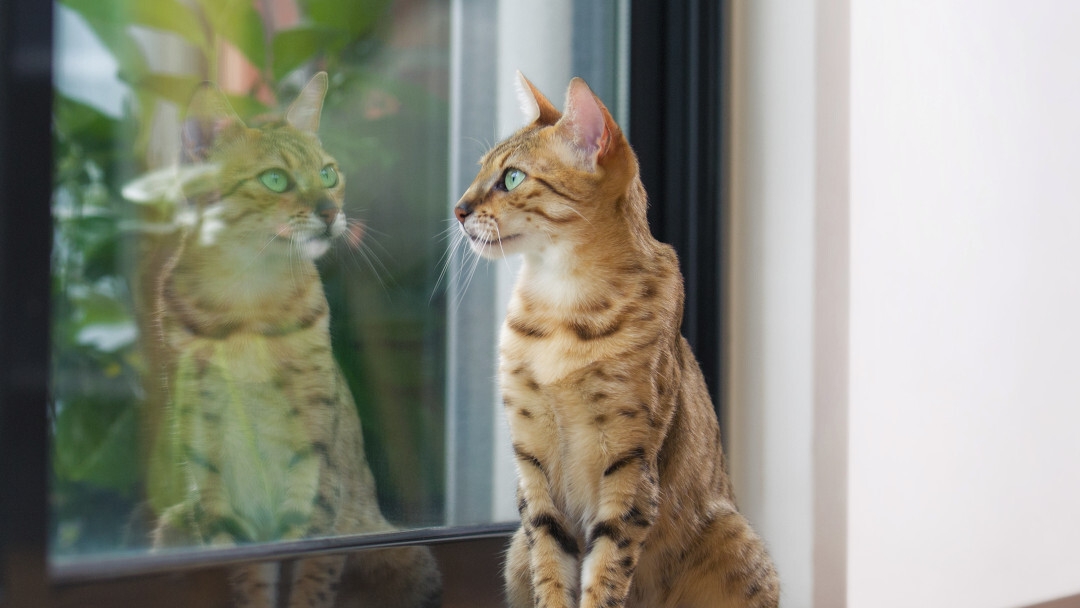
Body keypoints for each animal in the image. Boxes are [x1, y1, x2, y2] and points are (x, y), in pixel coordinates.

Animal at [151, 72, 438, 608]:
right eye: (276, 180)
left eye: (327, 174)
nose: (331, 213)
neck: (247, 305)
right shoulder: (207, 450)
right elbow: (245, 566)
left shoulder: (313, 451)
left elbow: (306, 566)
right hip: (173, 522)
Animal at [451, 72, 781, 608]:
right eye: (479, 171)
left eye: (513, 178)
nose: (458, 210)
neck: (562, 311)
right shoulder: (533, 464)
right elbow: (551, 570)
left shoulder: (629, 463)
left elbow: (605, 572)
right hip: (515, 549)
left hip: (734, 536)